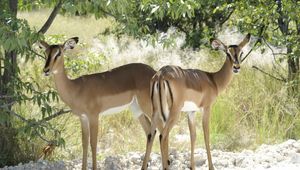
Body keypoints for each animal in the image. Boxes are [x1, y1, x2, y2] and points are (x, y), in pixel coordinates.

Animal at [38, 37, 156, 170]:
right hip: (137, 110)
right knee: (150, 132)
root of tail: (154, 73)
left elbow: (93, 143)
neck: (76, 88)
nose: (46, 70)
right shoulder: (83, 118)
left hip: (150, 108)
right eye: (45, 53)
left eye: (58, 53)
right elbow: (84, 143)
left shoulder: (94, 116)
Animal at [142, 33, 250, 170]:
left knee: (151, 135)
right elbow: (206, 135)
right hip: (174, 112)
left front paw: (192, 166)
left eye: (241, 53)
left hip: (155, 111)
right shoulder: (207, 108)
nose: (236, 67)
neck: (213, 80)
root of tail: (160, 75)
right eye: (227, 53)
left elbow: (193, 136)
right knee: (163, 136)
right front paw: (211, 167)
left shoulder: (191, 112)